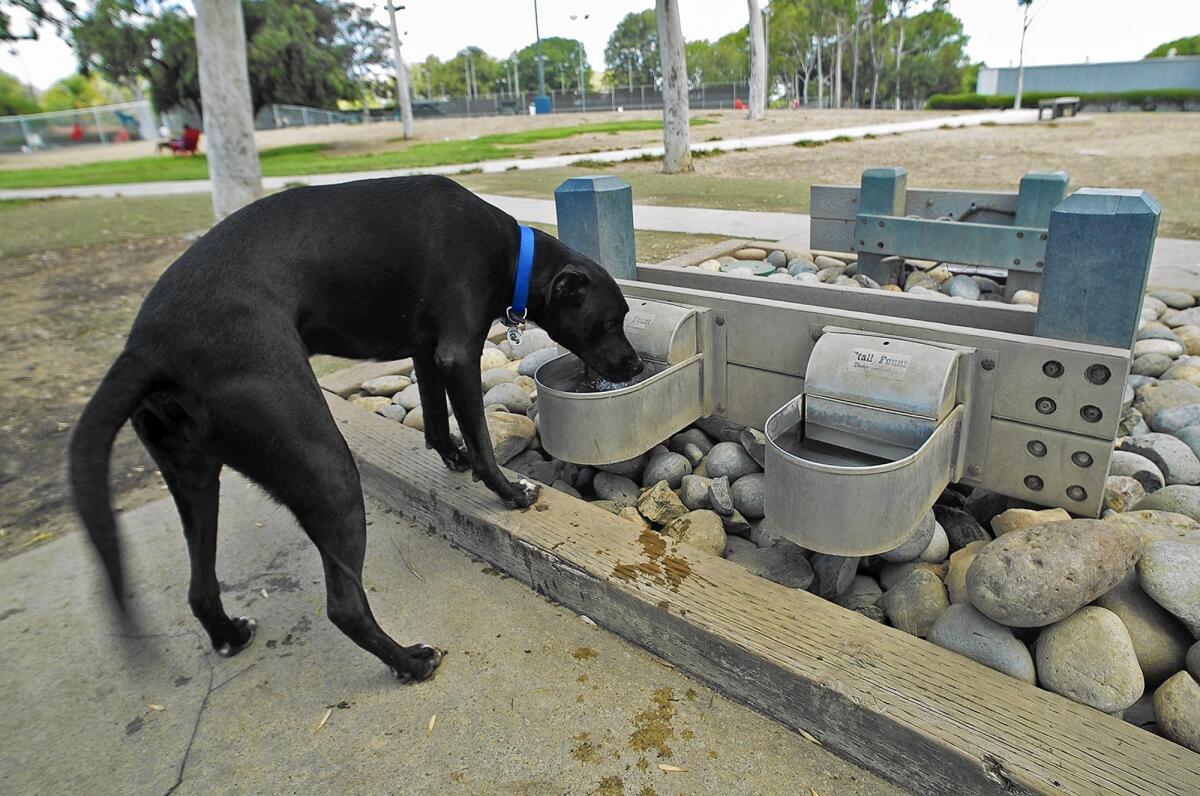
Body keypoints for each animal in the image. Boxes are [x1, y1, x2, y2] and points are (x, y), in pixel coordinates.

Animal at [70, 176, 643, 686]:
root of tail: (146, 349)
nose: (636, 365)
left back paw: (230, 634)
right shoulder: (458, 353)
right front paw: (507, 491)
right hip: (327, 468)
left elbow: (436, 420)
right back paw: (410, 662)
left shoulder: (426, 350)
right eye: (609, 321)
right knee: (343, 605)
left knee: (200, 587)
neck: (509, 251)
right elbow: (480, 437)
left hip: (195, 479)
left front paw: (453, 457)